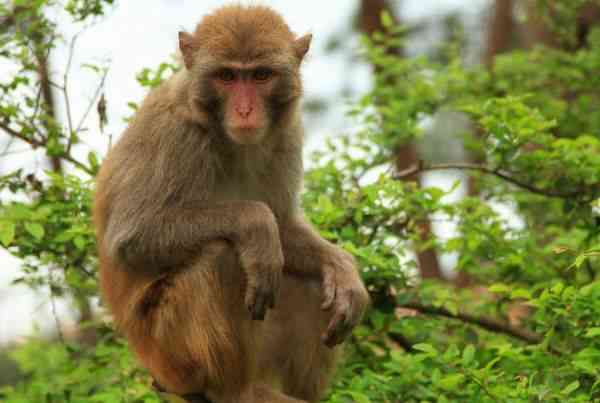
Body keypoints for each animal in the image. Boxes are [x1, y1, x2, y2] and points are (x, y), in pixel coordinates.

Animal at [93, 3, 368, 403]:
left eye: (261, 75)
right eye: (226, 76)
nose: (245, 110)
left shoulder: (287, 133)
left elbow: (285, 224)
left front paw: (342, 267)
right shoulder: (176, 135)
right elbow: (131, 238)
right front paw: (256, 224)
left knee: (310, 282)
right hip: (169, 351)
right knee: (222, 254)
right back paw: (232, 390)